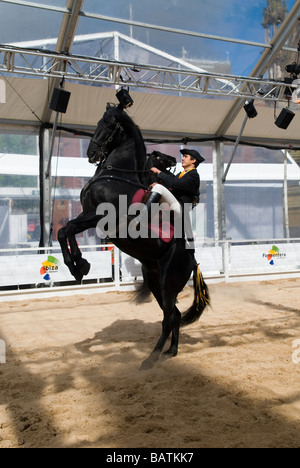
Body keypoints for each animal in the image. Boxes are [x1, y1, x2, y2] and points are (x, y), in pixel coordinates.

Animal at [58, 103, 209, 370]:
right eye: (98, 122)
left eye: (109, 124)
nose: (91, 153)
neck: (117, 177)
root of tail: (192, 260)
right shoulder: (88, 215)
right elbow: (63, 230)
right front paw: (77, 266)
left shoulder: (100, 217)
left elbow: (68, 229)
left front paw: (79, 265)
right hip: (155, 282)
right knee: (174, 315)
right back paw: (171, 352)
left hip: (168, 284)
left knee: (169, 318)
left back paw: (150, 359)